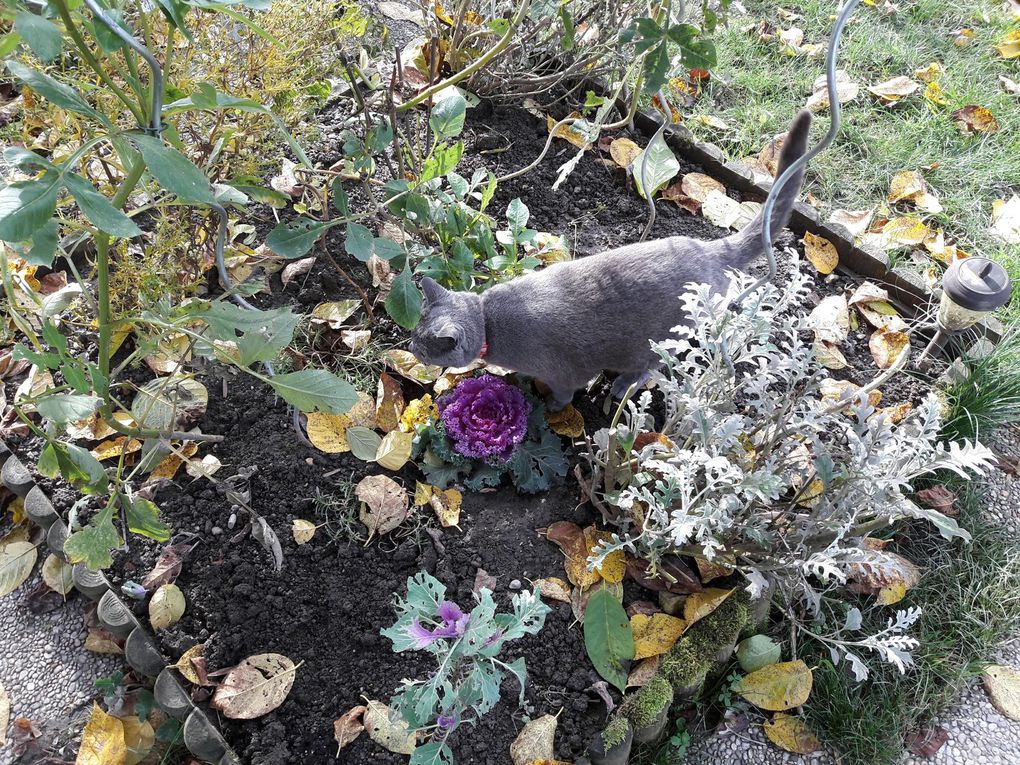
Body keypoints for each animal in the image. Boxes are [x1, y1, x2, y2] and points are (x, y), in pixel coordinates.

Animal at [405, 108, 811, 410]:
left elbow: (565, 393)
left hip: (661, 340)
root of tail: (709, 248)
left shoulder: (564, 373)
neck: (488, 321)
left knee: (649, 365)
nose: (409, 347)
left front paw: (548, 405)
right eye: (414, 334)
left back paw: (621, 386)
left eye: (424, 345)